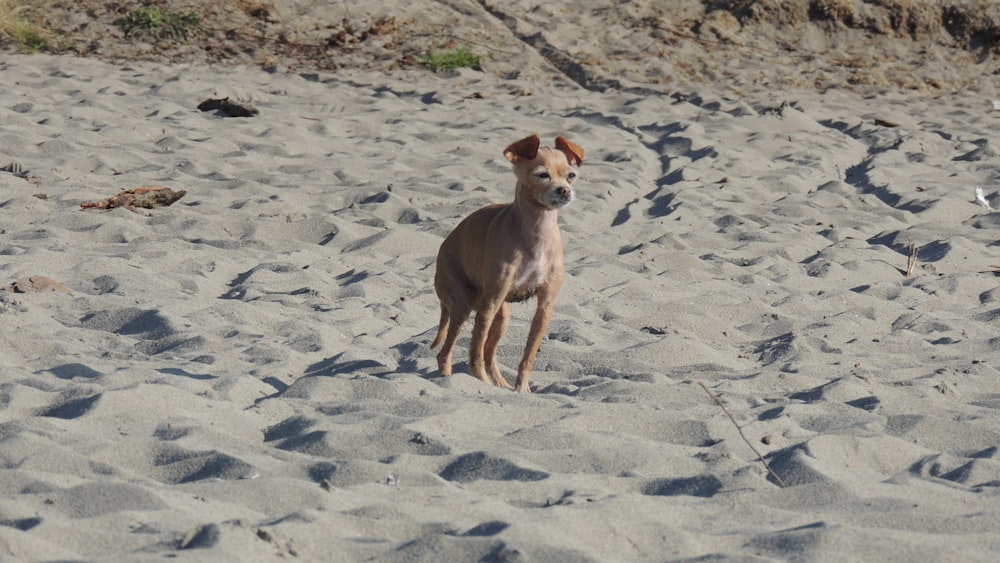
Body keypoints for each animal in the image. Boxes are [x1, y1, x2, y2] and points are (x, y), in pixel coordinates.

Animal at [432, 134, 584, 394]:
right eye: (542, 175)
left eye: (571, 175)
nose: (565, 190)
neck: (537, 232)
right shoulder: (490, 303)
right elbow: (474, 352)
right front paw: (480, 382)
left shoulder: (545, 307)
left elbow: (528, 355)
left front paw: (521, 389)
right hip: (464, 307)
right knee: (448, 352)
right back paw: (448, 380)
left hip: (502, 317)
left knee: (488, 352)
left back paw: (501, 384)